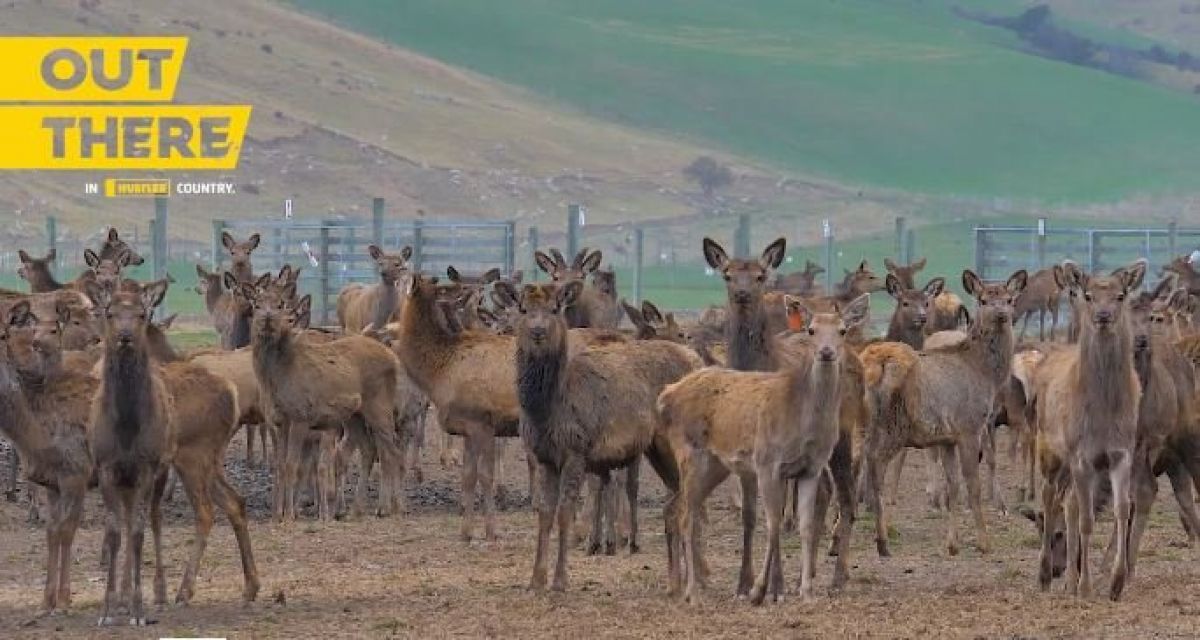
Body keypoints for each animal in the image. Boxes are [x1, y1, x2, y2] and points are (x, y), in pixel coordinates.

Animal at [511, 282, 700, 590]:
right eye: (523, 309)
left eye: (555, 308)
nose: (538, 331)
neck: (546, 410)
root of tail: (695, 361)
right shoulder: (544, 456)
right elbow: (545, 513)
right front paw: (535, 581)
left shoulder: (576, 449)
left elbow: (565, 511)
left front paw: (560, 580)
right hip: (657, 449)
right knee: (676, 501)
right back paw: (678, 580)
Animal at [662, 291, 868, 600]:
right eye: (811, 330)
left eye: (843, 330)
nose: (826, 352)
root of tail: (668, 394)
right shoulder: (767, 462)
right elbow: (772, 523)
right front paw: (762, 590)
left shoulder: (809, 467)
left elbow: (804, 524)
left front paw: (804, 591)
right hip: (689, 453)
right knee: (686, 514)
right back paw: (692, 592)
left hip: (715, 465)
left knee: (684, 509)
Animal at [859, 266, 1027, 557]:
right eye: (983, 300)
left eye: (1009, 299)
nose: (1001, 315)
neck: (984, 374)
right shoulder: (969, 426)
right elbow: (972, 485)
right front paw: (983, 542)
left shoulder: (947, 437)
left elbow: (953, 488)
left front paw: (952, 543)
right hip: (894, 424)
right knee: (875, 465)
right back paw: (882, 540)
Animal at [1036, 258, 1147, 597]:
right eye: (1087, 295)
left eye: (1121, 295)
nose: (1103, 315)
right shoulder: (1081, 455)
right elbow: (1086, 519)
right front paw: (1086, 588)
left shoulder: (1122, 452)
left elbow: (1123, 508)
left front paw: (1116, 582)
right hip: (1048, 449)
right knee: (1049, 497)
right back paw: (1045, 575)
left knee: (1068, 501)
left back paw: (1069, 580)